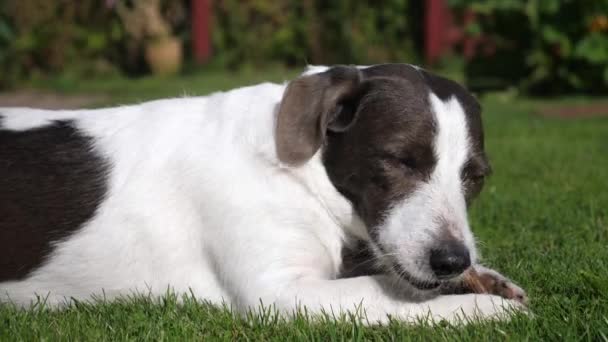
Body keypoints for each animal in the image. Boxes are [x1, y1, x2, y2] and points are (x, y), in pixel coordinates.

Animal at [0, 63, 524, 324]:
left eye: (474, 177)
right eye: (399, 160)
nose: (453, 262)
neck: (301, 176)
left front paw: (484, 278)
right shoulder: (281, 293)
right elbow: (389, 292)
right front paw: (481, 307)